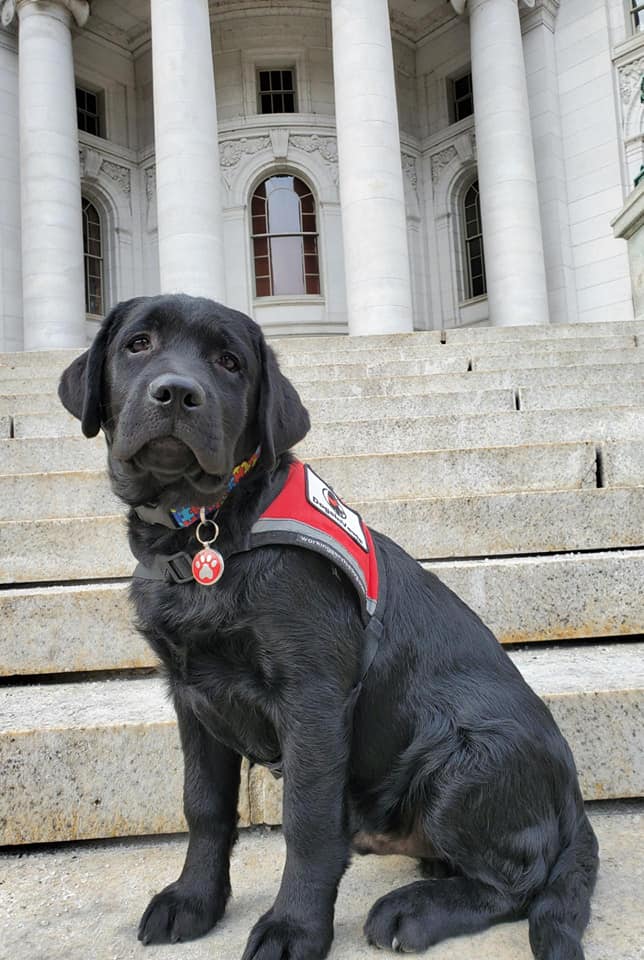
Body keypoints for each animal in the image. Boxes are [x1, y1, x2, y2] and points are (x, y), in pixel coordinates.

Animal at [59, 296, 600, 956]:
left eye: (229, 362)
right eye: (138, 344)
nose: (178, 393)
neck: (204, 531)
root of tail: (575, 799)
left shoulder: (312, 698)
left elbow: (308, 823)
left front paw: (294, 927)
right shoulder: (191, 696)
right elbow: (204, 805)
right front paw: (193, 900)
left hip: (467, 758)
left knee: (519, 882)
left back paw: (413, 910)